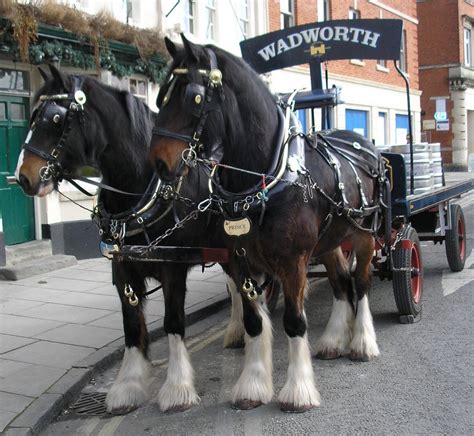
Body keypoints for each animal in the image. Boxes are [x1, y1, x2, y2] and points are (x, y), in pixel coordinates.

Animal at [15, 66, 248, 414]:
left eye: (56, 118)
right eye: (32, 117)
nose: (23, 177)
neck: (140, 188)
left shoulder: (172, 268)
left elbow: (173, 322)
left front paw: (177, 388)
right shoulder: (123, 269)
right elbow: (131, 326)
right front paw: (127, 387)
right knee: (235, 287)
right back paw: (237, 331)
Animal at [150, 35, 386, 412]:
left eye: (194, 97)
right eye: (161, 97)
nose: (157, 163)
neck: (265, 177)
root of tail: (366, 145)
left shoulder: (292, 262)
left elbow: (293, 321)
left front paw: (299, 390)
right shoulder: (240, 261)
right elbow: (252, 322)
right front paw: (253, 385)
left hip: (364, 233)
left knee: (360, 283)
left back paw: (362, 342)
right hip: (331, 240)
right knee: (340, 283)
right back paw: (334, 340)